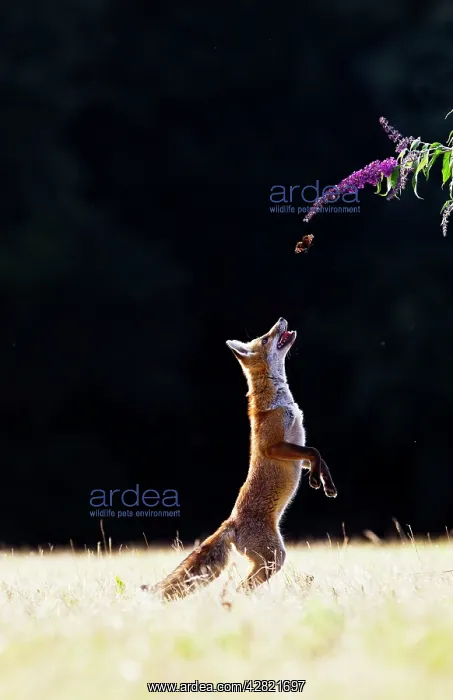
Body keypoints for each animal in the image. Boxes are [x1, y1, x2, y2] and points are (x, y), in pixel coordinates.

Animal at [141, 318, 337, 600]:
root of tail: (230, 521)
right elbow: (314, 451)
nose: (281, 320)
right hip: (274, 557)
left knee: (242, 585)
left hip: (269, 559)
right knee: (241, 587)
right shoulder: (274, 446)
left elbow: (316, 456)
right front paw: (319, 482)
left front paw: (321, 481)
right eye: (265, 338)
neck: (280, 400)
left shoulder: (295, 448)